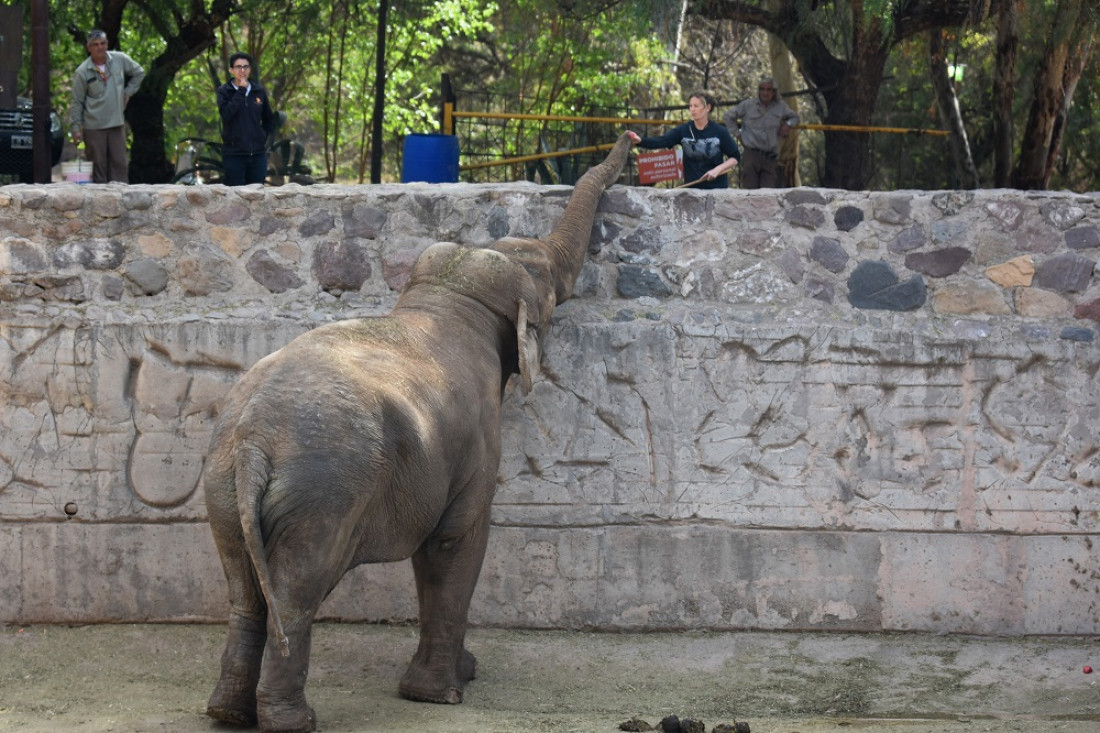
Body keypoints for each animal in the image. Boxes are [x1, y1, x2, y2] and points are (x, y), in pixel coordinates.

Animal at [202, 132, 633, 730]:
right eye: (548, 281)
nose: (633, 139)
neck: (445, 296)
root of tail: (252, 446)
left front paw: (456, 676)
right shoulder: (477, 439)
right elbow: (455, 541)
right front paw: (440, 695)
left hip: (222, 488)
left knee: (242, 590)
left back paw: (227, 713)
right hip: (322, 496)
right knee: (297, 591)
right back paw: (293, 720)